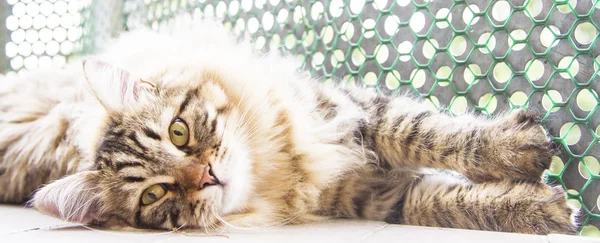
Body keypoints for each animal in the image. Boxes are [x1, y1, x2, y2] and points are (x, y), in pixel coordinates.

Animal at [0, 21, 576, 234]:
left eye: (179, 133)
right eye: (155, 195)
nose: (205, 176)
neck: (276, 172)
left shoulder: (345, 112)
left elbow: (428, 133)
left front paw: (513, 148)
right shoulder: (370, 197)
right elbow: (439, 202)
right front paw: (536, 207)